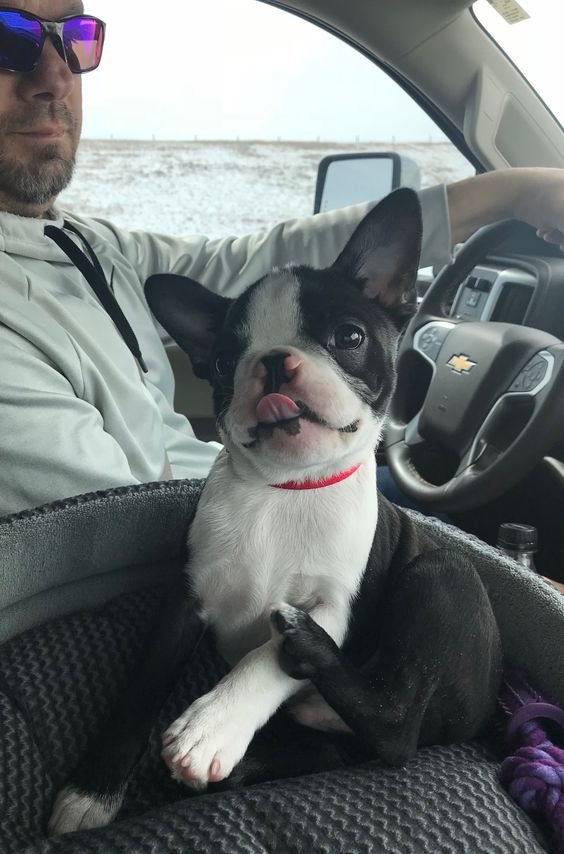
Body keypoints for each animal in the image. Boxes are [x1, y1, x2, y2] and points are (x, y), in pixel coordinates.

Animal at [49, 192, 502, 836]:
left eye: (348, 336)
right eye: (222, 361)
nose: (272, 361)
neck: (285, 490)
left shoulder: (334, 606)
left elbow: (265, 659)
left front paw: (211, 726)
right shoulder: (183, 600)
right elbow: (140, 690)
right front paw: (92, 792)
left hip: (445, 574)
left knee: (396, 731)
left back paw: (302, 653)